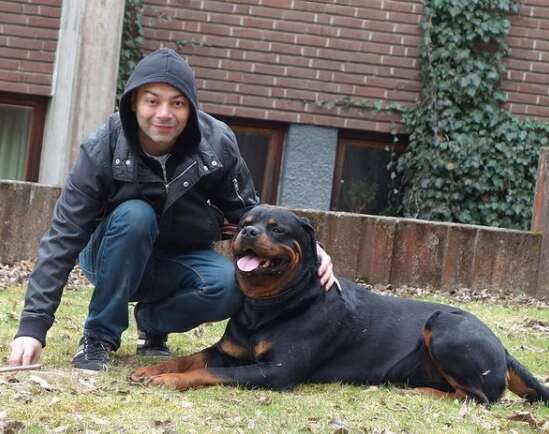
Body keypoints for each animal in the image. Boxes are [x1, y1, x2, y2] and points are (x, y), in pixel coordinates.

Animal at [132, 205, 548, 406]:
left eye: (276, 228)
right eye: (246, 222)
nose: (248, 231)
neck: (270, 304)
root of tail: (502, 348)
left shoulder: (277, 371)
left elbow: (209, 373)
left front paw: (167, 381)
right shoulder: (229, 350)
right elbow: (193, 359)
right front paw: (152, 369)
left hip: (444, 326)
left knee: (478, 398)